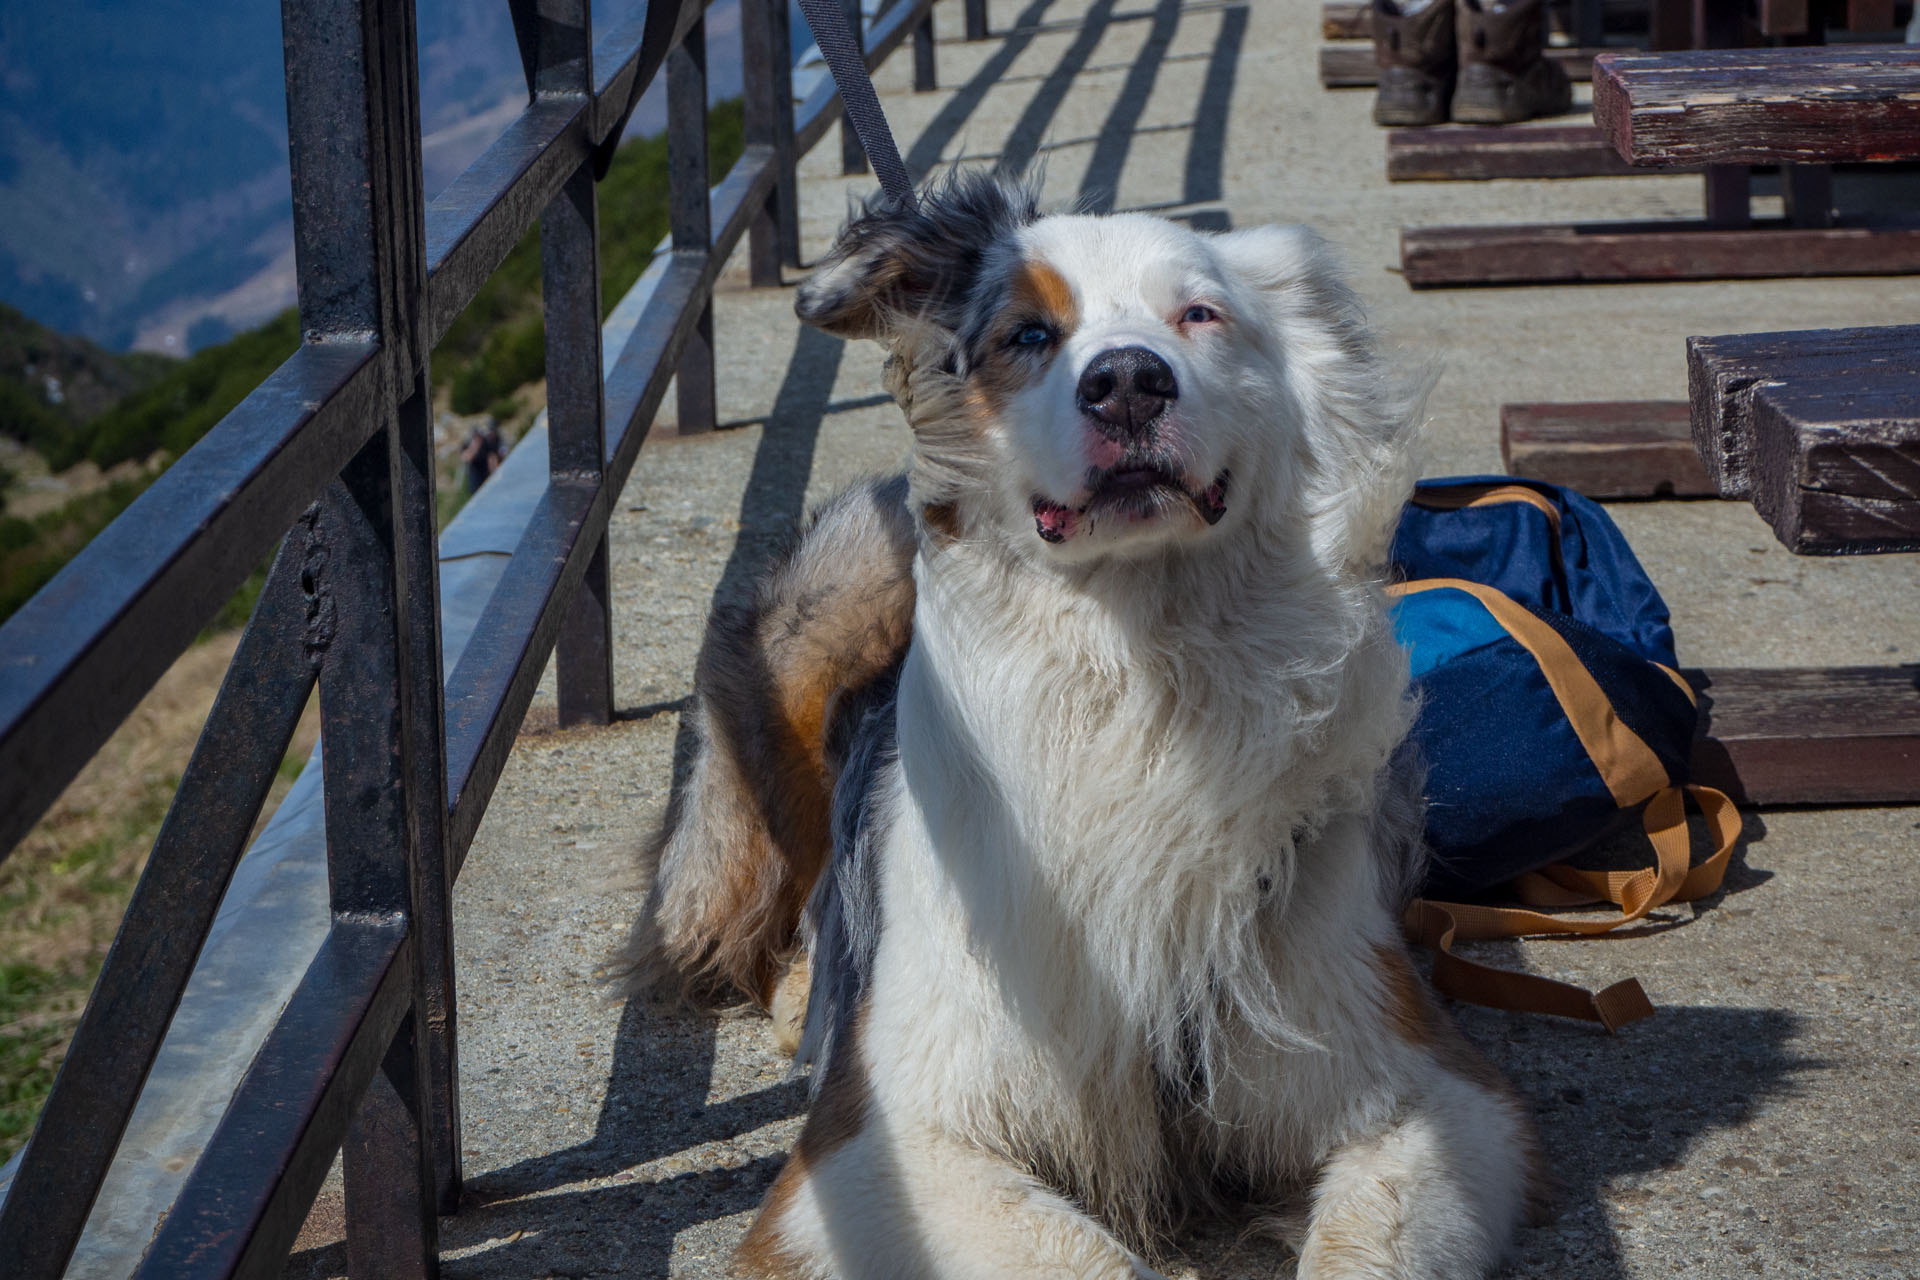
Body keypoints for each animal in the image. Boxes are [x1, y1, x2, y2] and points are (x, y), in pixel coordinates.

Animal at [629, 177, 1543, 1280]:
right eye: (1029, 333)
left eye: (1200, 313)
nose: (1127, 384)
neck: (1141, 682)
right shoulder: (877, 1143)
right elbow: (1080, 1254)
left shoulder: (1428, 1087)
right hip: (808, 652)